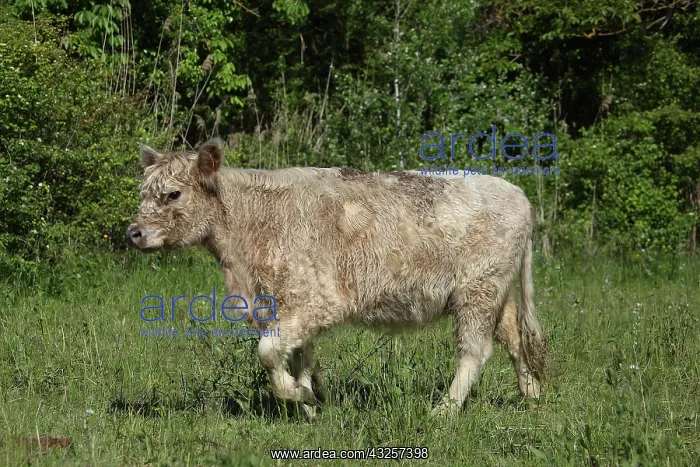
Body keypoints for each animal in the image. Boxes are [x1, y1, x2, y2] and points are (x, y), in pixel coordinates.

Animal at [126, 139, 547, 419]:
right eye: (144, 192)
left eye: (172, 194)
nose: (133, 232)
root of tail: (518, 193)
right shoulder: (287, 306)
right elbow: (301, 356)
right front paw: (312, 405)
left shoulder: (313, 302)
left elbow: (268, 353)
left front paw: (301, 397)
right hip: (496, 292)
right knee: (514, 338)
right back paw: (531, 395)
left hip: (477, 292)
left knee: (475, 351)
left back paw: (443, 411)